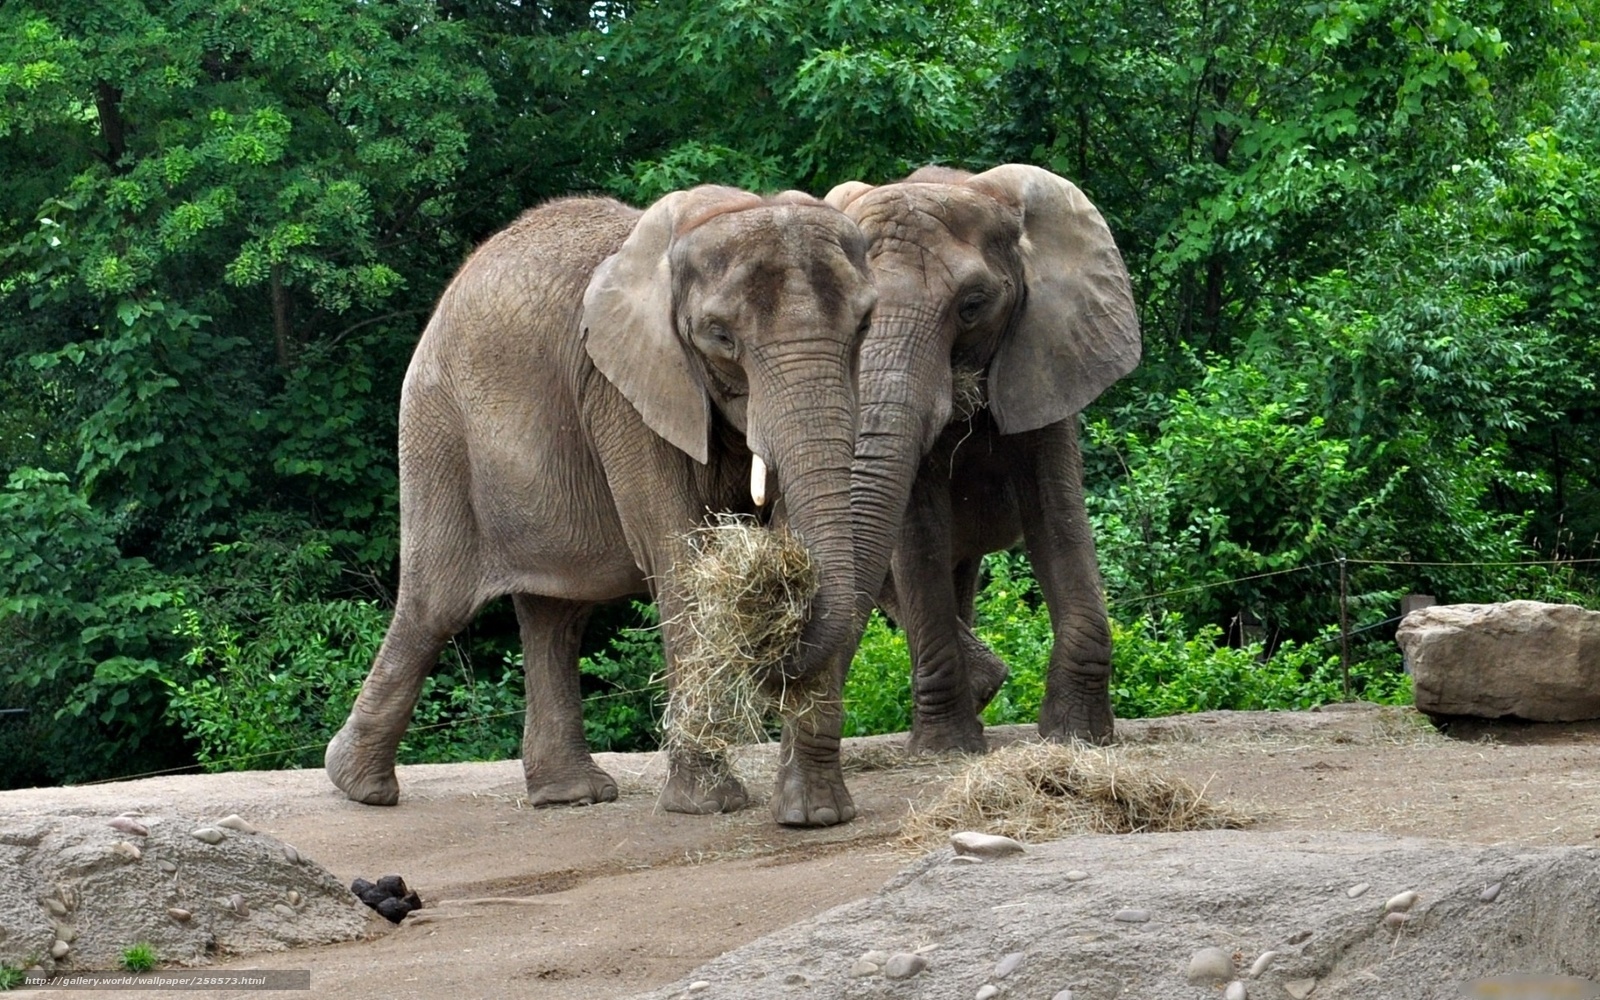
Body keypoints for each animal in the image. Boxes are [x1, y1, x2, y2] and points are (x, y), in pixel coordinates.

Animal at [324, 185, 880, 826]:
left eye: (865, 325)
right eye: (720, 336)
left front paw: (815, 816)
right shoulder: (620, 390)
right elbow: (675, 550)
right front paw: (707, 806)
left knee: (556, 618)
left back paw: (569, 796)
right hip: (437, 427)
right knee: (434, 605)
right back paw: (359, 787)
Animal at [824, 164, 1141, 753]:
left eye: (972, 305)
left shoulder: (1046, 351)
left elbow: (1057, 520)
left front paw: (1078, 737)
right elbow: (917, 535)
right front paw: (946, 748)